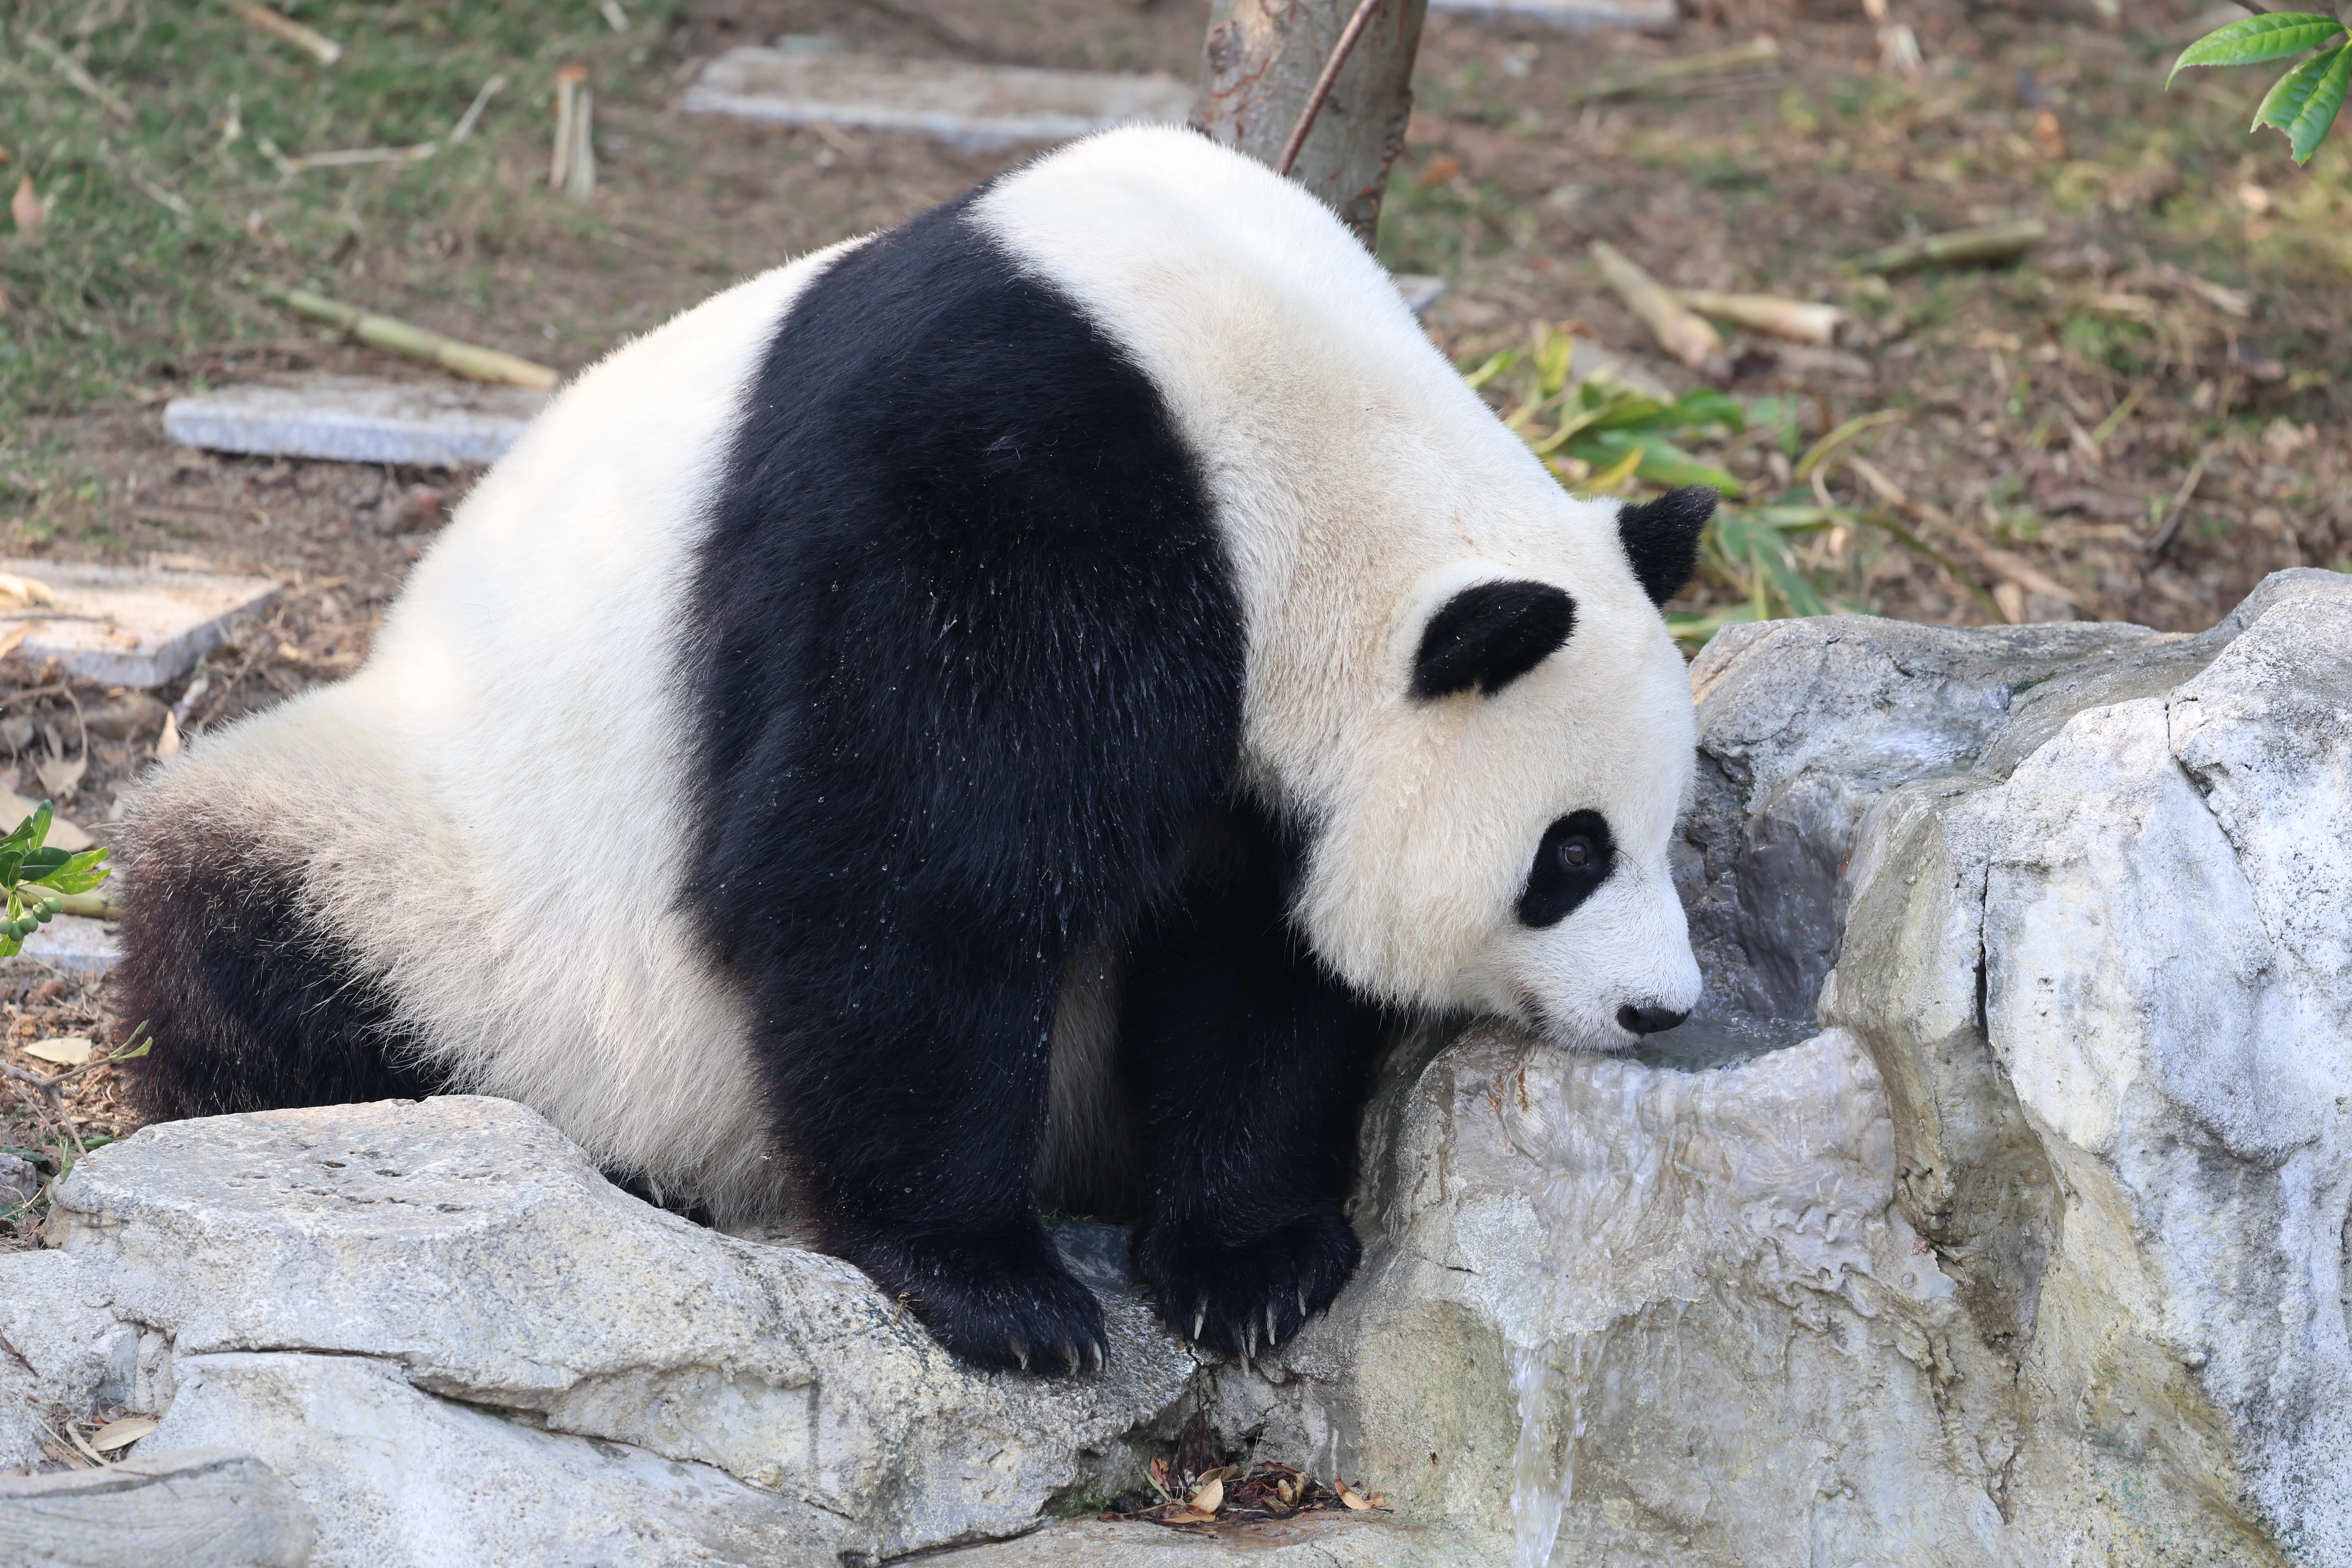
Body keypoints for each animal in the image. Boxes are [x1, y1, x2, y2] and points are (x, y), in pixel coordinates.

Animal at [115, 125, 1708, 1375]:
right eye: (1570, 851)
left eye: (1664, 828)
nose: (1660, 1006)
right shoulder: (993, 492)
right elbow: (904, 880)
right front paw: (997, 1290)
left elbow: (1248, 952)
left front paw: (1244, 1265)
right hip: (450, 871)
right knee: (257, 926)